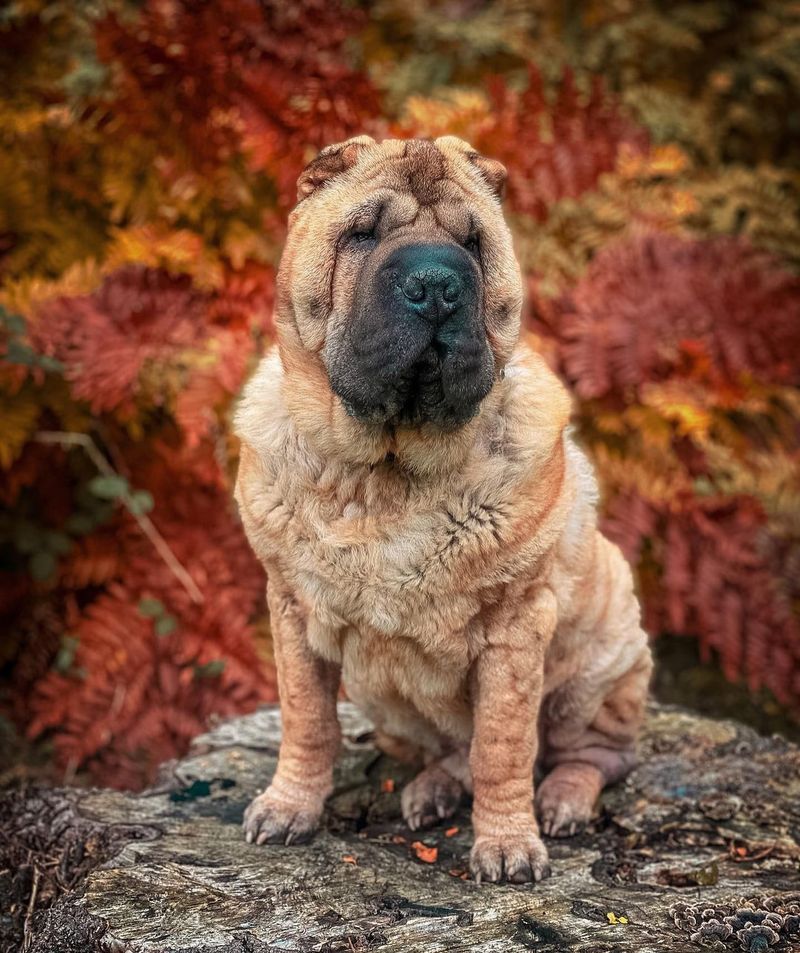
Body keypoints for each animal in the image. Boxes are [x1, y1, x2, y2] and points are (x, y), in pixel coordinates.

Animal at [234, 136, 652, 884]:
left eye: (473, 244)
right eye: (363, 233)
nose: (435, 284)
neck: (384, 472)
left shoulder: (516, 629)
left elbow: (503, 744)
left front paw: (508, 845)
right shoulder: (291, 609)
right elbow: (306, 719)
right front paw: (287, 808)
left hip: (598, 666)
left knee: (592, 755)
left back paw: (562, 802)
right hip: (390, 704)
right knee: (449, 750)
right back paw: (430, 792)